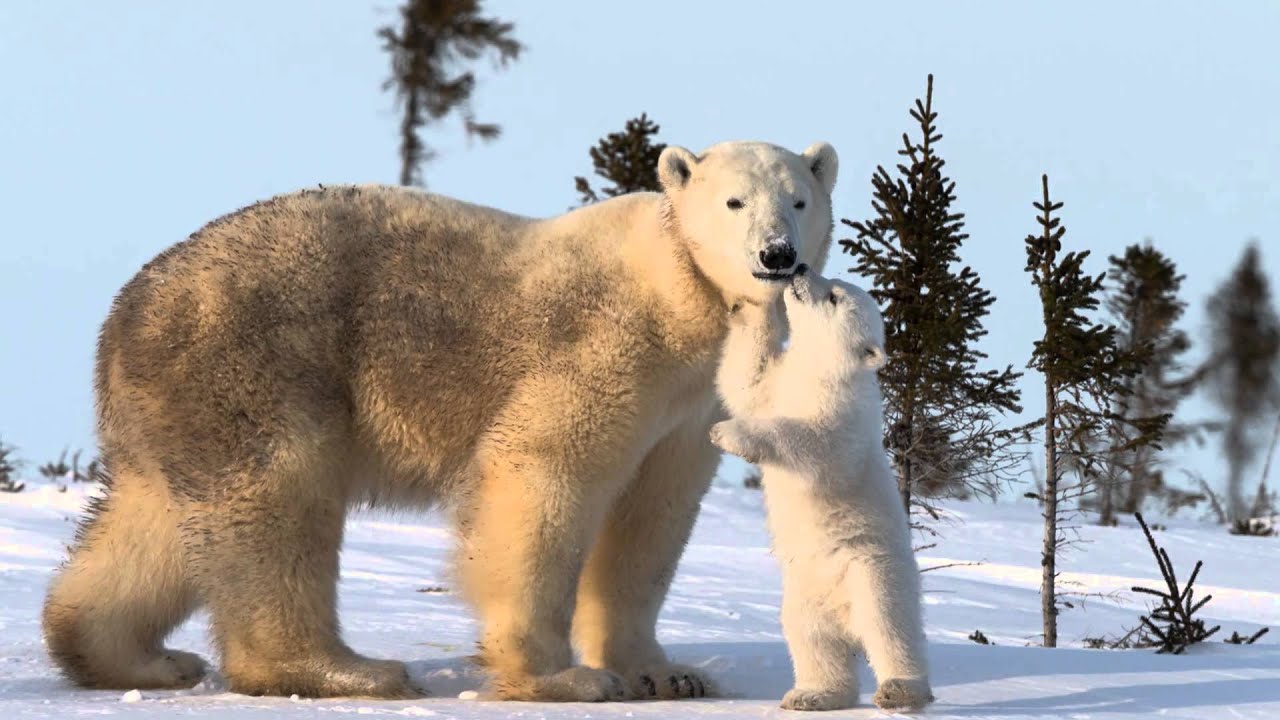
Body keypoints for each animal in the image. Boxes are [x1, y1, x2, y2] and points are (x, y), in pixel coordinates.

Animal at [41, 140, 840, 702]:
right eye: (734, 201)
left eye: (799, 200)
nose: (777, 256)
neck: (675, 291)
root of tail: (128, 312)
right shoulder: (603, 343)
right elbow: (544, 473)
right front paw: (561, 678)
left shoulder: (685, 402)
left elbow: (651, 516)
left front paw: (664, 674)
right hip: (259, 365)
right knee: (278, 498)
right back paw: (348, 670)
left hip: (175, 405)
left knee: (151, 525)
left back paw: (134, 656)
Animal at [710, 266, 933, 711]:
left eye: (834, 296)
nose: (799, 269)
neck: (818, 372)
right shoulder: (777, 384)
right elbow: (745, 380)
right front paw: (751, 304)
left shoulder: (845, 417)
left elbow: (811, 445)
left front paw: (728, 433)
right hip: (805, 590)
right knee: (811, 636)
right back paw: (812, 694)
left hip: (873, 571)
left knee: (889, 627)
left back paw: (901, 689)